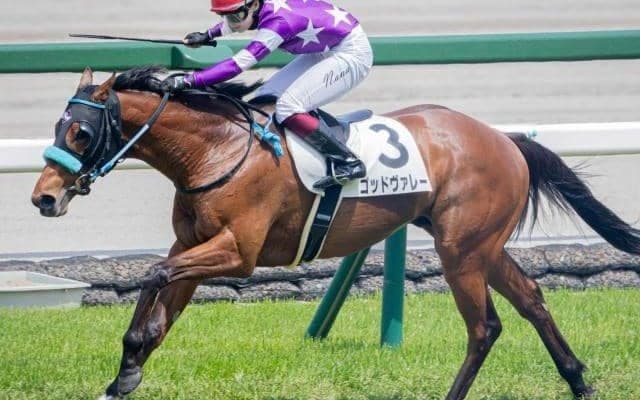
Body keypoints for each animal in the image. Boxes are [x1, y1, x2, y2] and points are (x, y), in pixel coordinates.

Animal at [31, 66, 640, 400]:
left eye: (81, 131)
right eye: (56, 126)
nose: (43, 197)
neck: (217, 150)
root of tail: (505, 139)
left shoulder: (237, 253)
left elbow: (155, 274)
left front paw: (130, 367)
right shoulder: (194, 244)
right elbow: (158, 298)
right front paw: (125, 374)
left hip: (460, 249)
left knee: (484, 327)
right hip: (482, 246)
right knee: (532, 299)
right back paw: (579, 381)